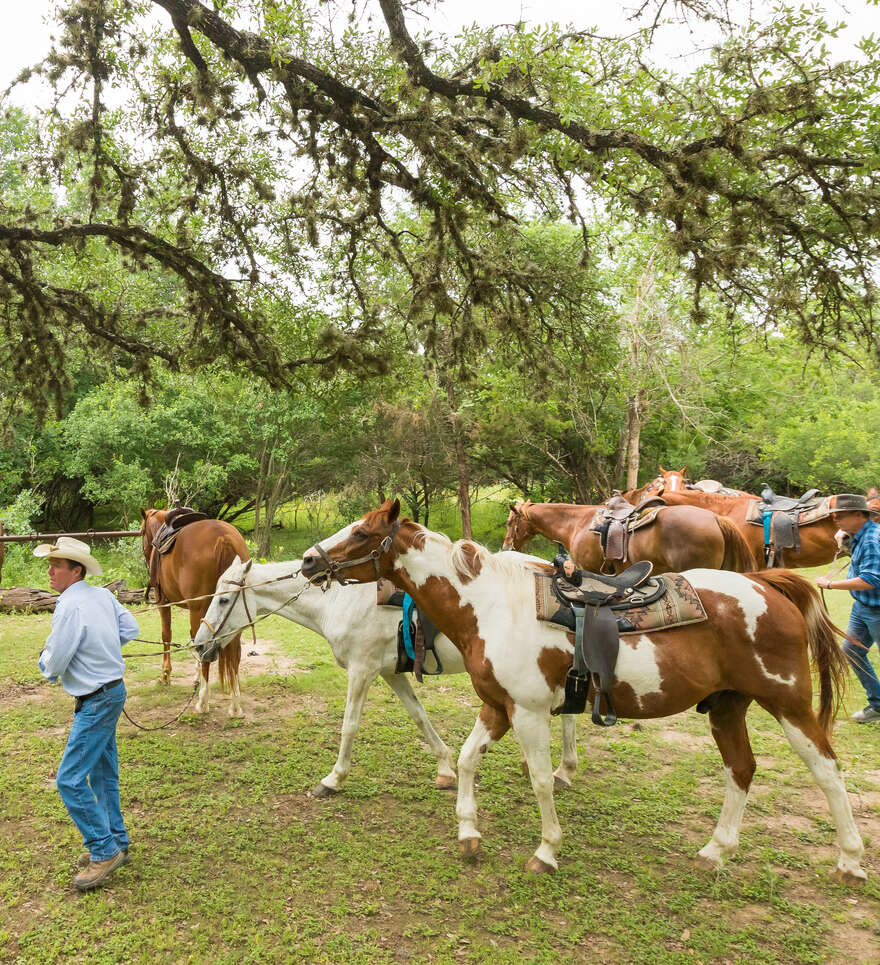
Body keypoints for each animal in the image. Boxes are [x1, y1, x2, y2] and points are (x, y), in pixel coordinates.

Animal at [141, 504, 249, 716]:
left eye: (141, 532)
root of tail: (223, 538)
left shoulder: (163, 603)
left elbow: (166, 635)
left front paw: (165, 675)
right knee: (234, 652)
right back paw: (235, 702)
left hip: (198, 609)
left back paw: (203, 700)